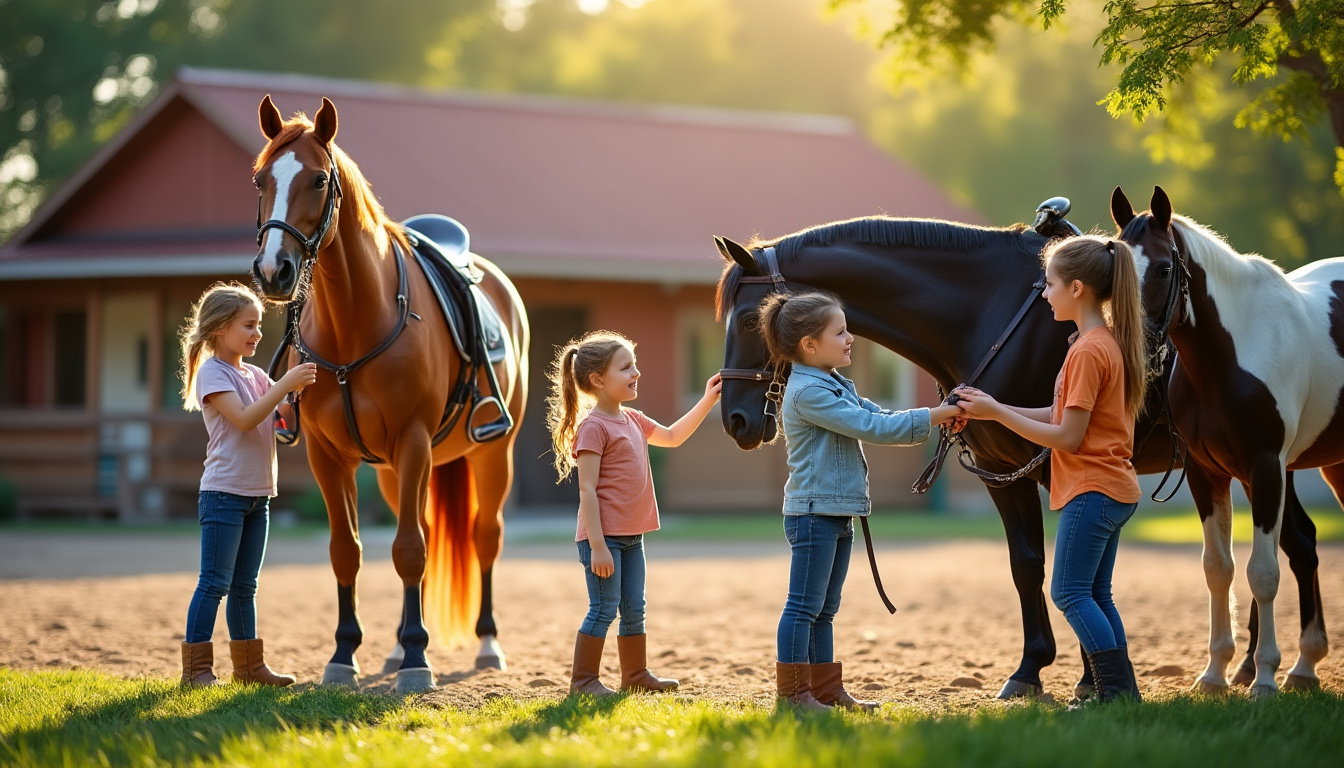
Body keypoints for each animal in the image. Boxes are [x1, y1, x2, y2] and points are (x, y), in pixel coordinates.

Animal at [249, 95, 529, 693]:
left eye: (318, 179)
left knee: (484, 536)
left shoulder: (413, 440)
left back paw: (485, 644)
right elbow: (347, 551)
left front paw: (418, 662)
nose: (273, 270)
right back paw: (400, 644)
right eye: (261, 179)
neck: (357, 320)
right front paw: (345, 654)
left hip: (492, 453)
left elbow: (409, 550)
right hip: (391, 471)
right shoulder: (330, 455)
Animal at [1113, 186, 1333, 697]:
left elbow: (1263, 572)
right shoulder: (1205, 472)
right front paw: (1215, 673)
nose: (1131, 347)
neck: (1230, 355)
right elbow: (1219, 568)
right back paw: (1304, 665)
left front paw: (1265, 678)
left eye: (1164, 269)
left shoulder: (1266, 466)